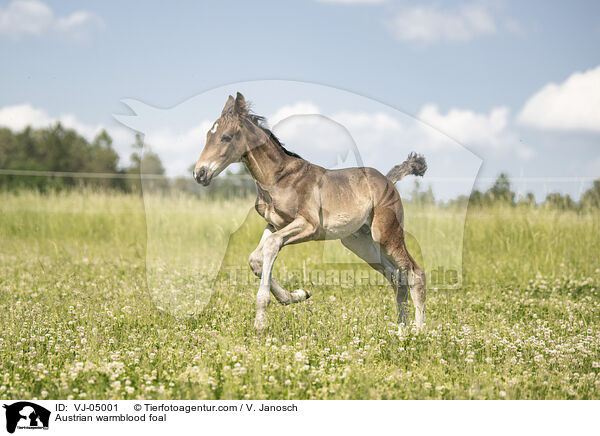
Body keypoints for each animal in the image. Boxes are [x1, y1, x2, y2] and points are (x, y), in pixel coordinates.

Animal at [193, 93, 426, 330]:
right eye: (208, 135)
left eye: (226, 137)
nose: (199, 173)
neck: (279, 178)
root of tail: (388, 180)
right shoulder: (274, 224)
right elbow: (256, 259)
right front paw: (297, 295)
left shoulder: (308, 225)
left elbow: (271, 246)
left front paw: (260, 320)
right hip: (360, 243)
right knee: (396, 276)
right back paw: (401, 327)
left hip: (386, 234)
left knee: (414, 273)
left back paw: (417, 330)